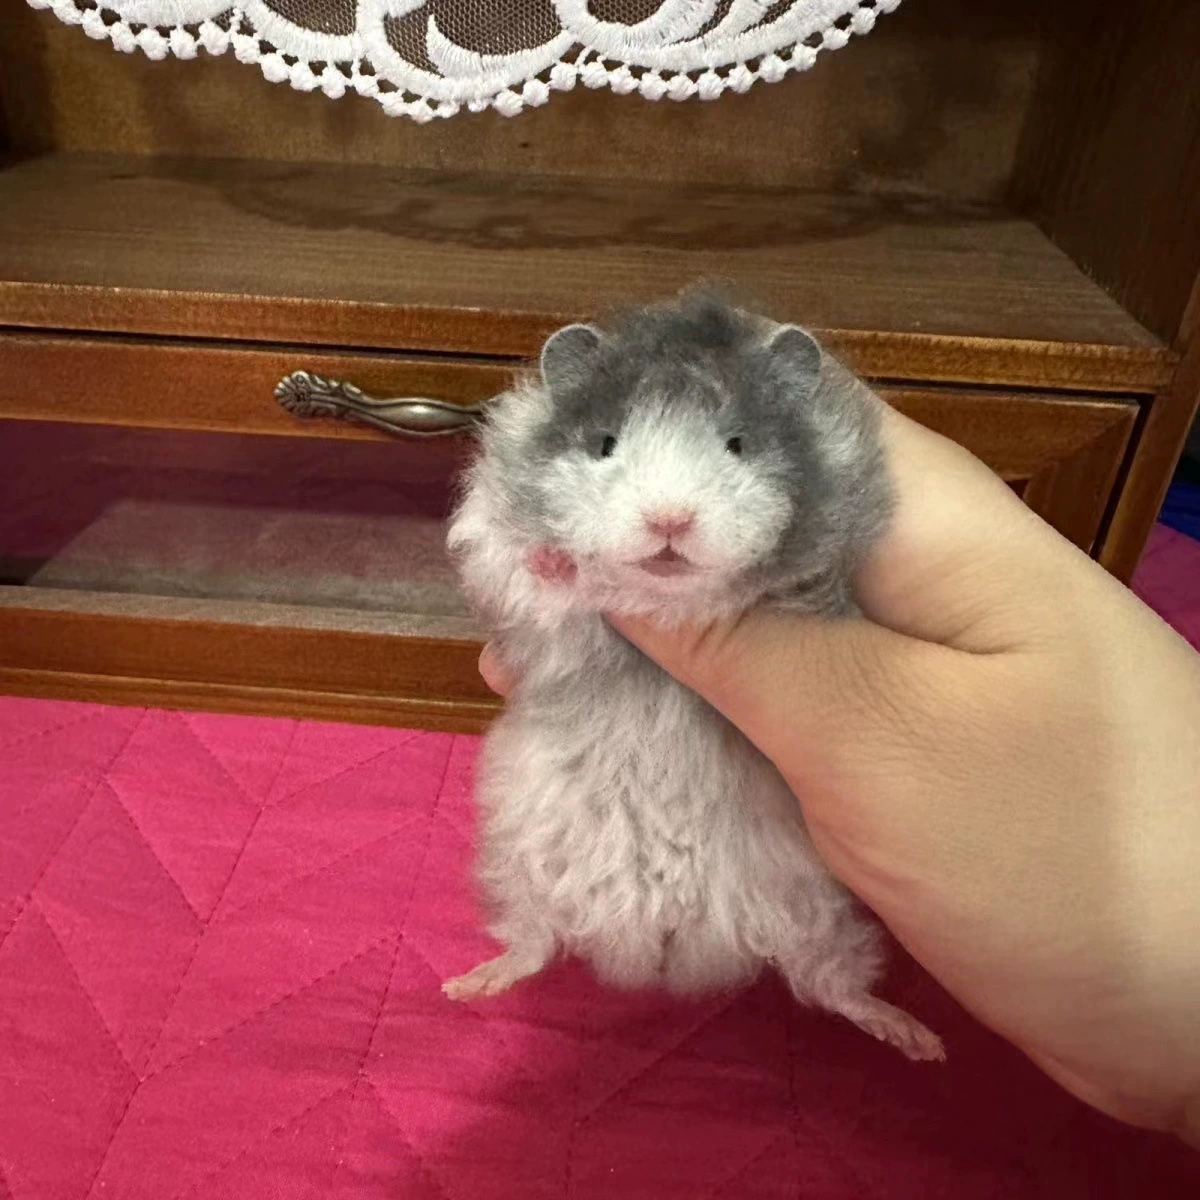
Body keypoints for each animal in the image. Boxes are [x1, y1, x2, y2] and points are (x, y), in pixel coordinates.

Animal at [443, 293, 943, 1062]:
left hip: (826, 917)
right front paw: (560, 559)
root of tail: (665, 950)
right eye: (605, 443)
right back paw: (462, 987)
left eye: (737, 443)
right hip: (519, 872)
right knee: (531, 947)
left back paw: (919, 1040)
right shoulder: (535, 618)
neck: (667, 602)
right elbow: (541, 586)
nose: (668, 521)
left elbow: (811, 587)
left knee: (834, 989)